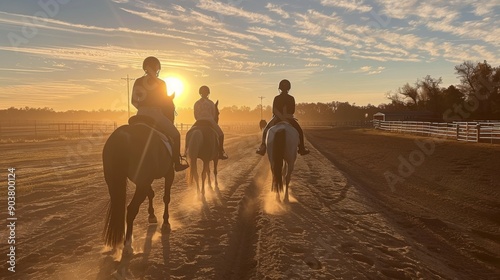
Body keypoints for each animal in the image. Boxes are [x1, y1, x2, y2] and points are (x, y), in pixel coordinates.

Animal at [101, 96, 176, 252]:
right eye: (172, 107)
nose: (171, 119)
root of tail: (123, 137)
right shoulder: (168, 174)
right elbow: (166, 198)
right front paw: (165, 223)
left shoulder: (144, 180)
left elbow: (151, 194)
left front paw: (152, 215)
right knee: (131, 209)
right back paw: (128, 242)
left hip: (114, 182)